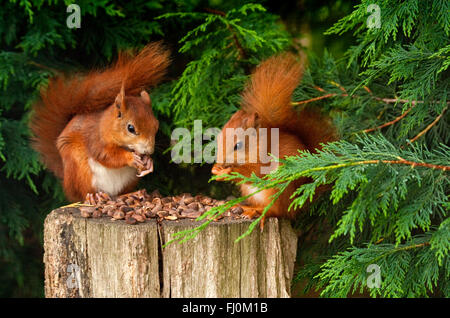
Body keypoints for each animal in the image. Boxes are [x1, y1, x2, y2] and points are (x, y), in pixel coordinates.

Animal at [29, 42, 171, 201]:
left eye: (156, 126)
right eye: (131, 128)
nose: (149, 151)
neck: (107, 126)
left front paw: (149, 162)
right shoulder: (95, 139)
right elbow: (105, 155)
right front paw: (131, 158)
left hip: (129, 180)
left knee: (120, 193)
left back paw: (134, 193)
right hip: (80, 171)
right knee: (84, 193)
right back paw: (94, 197)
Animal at [213, 53, 336, 225]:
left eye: (238, 145)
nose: (221, 162)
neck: (258, 145)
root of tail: (296, 206)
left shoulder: (265, 159)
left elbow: (254, 172)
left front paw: (229, 172)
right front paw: (216, 169)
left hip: (278, 189)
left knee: (277, 211)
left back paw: (258, 213)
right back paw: (246, 208)